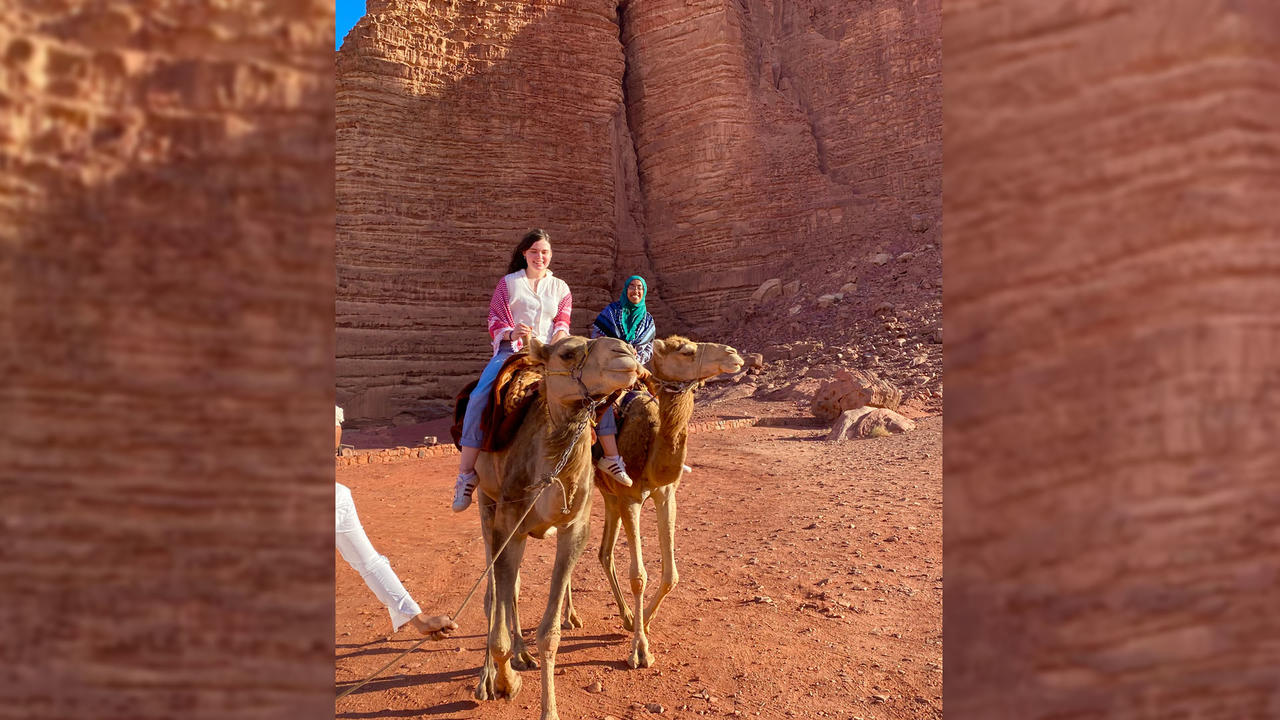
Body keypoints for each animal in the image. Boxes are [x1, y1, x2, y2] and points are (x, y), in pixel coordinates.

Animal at [471, 333, 640, 717]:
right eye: (567, 353)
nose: (626, 353)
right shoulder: (508, 523)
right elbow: (496, 605)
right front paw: (504, 682)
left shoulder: (575, 527)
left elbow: (549, 632)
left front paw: (548, 708)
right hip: (486, 502)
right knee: (495, 591)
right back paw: (495, 672)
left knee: (513, 588)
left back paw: (527, 649)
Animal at [568, 335, 742, 666]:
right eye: (686, 352)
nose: (734, 354)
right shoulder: (631, 499)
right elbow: (638, 576)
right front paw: (639, 650)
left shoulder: (666, 495)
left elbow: (671, 574)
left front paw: (644, 621)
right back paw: (569, 618)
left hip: (609, 496)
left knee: (603, 552)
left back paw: (622, 616)